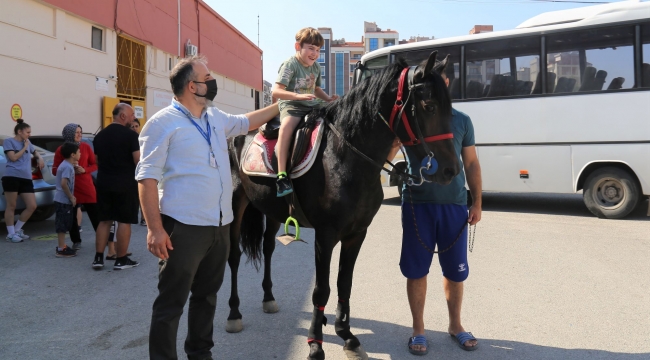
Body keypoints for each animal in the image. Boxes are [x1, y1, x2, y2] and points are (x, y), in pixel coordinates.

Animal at [225, 51, 458, 360]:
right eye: (429, 106)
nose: (451, 170)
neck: (345, 156)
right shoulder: (325, 236)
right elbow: (321, 289)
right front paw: (315, 342)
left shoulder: (356, 234)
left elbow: (344, 283)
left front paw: (346, 334)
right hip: (235, 205)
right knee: (233, 257)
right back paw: (234, 313)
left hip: (272, 212)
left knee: (268, 248)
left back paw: (269, 297)